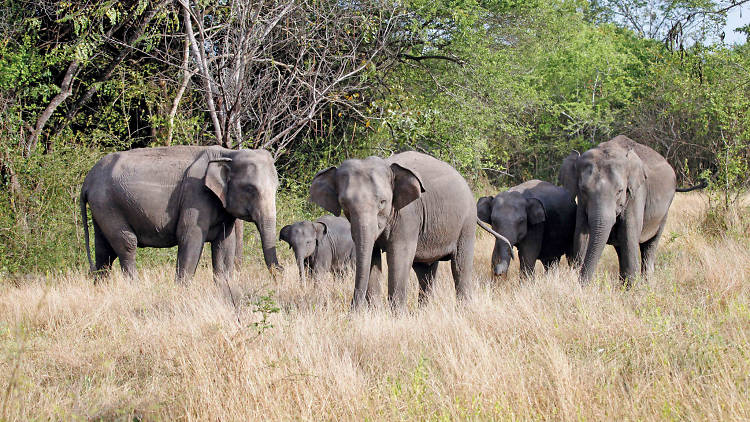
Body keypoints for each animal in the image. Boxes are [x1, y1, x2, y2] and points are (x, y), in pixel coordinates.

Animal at [80, 145, 282, 284]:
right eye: (250, 189)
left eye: (276, 188)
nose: (281, 270)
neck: (228, 153)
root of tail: (88, 180)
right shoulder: (195, 195)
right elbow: (189, 237)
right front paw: (181, 289)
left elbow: (225, 244)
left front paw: (225, 287)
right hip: (108, 204)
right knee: (127, 244)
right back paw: (133, 286)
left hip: (102, 208)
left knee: (104, 250)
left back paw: (102, 288)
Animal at [308, 152, 516, 310]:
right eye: (344, 205)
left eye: (382, 202)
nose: (351, 314)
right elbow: (372, 256)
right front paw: (374, 315)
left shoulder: (407, 214)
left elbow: (399, 256)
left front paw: (396, 317)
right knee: (425, 272)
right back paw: (423, 312)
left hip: (466, 221)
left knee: (460, 265)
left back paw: (463, 310)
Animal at [560, 135, 680, 286]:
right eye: (583, 190)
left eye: (620, 191)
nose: (582, 284)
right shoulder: (581, 203)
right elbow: (581, 234)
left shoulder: (637, 193)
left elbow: (629, 235)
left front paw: (633, 288)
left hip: (665, 210)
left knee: (650, 245)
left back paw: (646, 283)